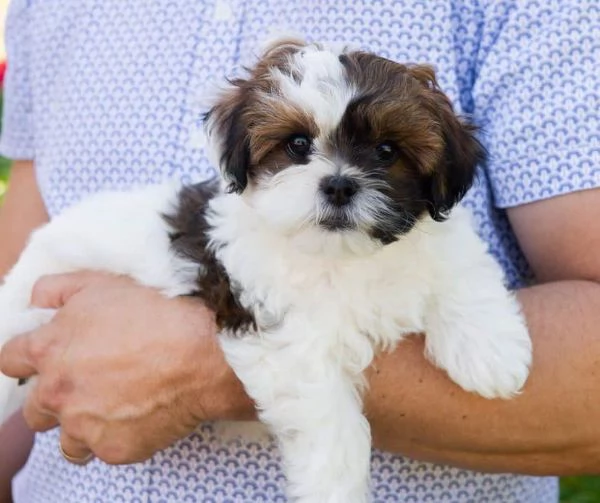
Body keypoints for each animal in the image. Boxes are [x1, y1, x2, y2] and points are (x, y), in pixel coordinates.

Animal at [2, 39, 532, 503]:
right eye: (297, 145)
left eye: (387, 151)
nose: (339, 185)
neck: (345, 258)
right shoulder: (283, 333)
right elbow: (328, 416)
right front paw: (335, 490)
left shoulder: (439, 243)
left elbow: (462, 268)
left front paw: (491, 353)